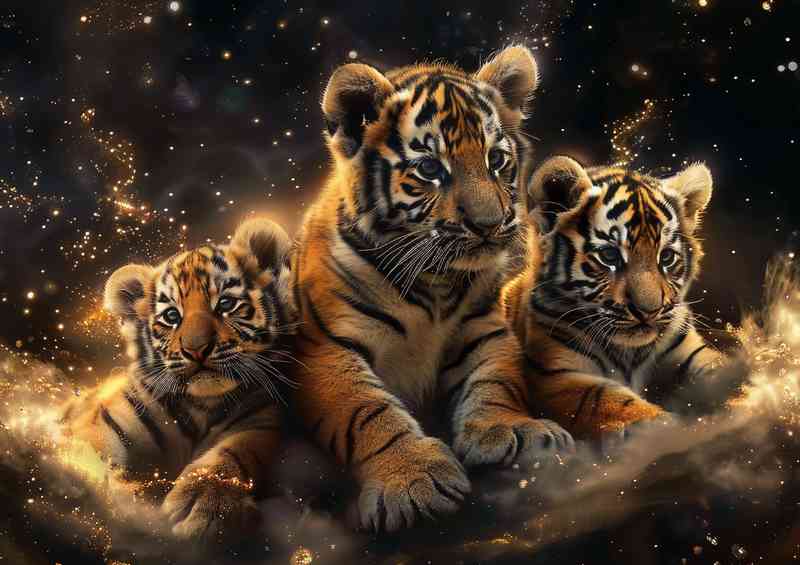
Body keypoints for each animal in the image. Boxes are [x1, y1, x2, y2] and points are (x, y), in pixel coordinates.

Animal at [61, 218, 295, 540]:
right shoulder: (105, 418)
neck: (204, 405)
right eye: (172, 316)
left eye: (226, 304)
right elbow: (89, 450)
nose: (196, 349)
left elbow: (230, 456)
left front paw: (205, 504)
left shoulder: (260, 422)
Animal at [290, 45, 574, 533]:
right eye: (429, 168)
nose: (489, 225)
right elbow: (367, 410)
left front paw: (513, 429)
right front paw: (412, 479)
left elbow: (497, 378)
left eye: (496, 160)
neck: (435, 279)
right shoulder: (326, 347)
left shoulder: (483, 326)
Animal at [503, 156, 725, 440]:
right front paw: (669, 428)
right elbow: (611, 400)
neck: (630, 352)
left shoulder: (691, 352)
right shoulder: (555, 376)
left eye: (666, 257)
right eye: (609, 256)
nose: (649, 311)